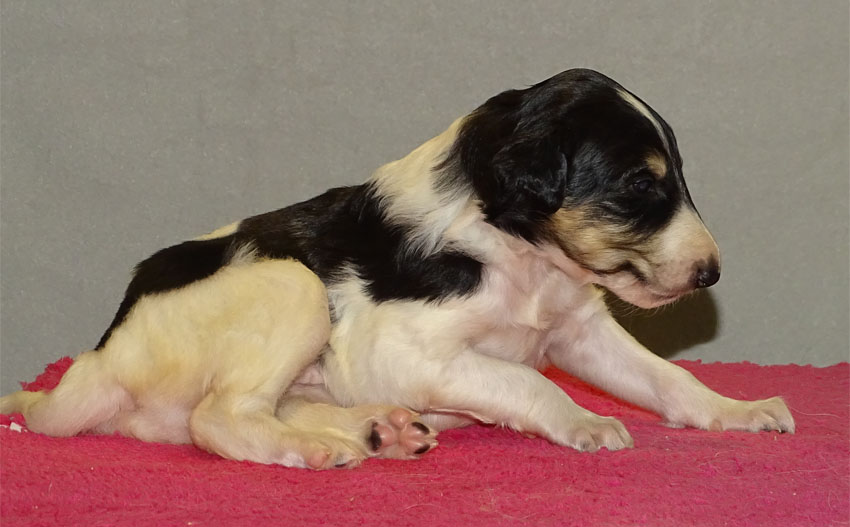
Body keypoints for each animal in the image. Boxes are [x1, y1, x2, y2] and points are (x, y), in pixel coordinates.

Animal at [0, 69, 794, 469]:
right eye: (638, 184)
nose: (711, 274)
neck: (521, 259)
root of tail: (99, 360)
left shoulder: (580, 330)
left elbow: (668, 377)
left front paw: (738, 409)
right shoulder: (400, 348)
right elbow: (526, 380)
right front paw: (584, 420)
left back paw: (377, 430)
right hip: (288, 283)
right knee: (218, 419)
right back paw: (316, 446)